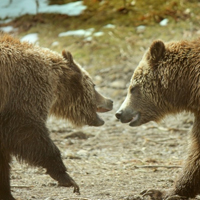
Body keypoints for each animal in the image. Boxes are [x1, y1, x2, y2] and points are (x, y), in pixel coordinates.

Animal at [0, 33, 112, 200]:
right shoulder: (22, 94)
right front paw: (67, 179)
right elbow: (28, 133)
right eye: (94, 85)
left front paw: (7, 193)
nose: (110, 101)